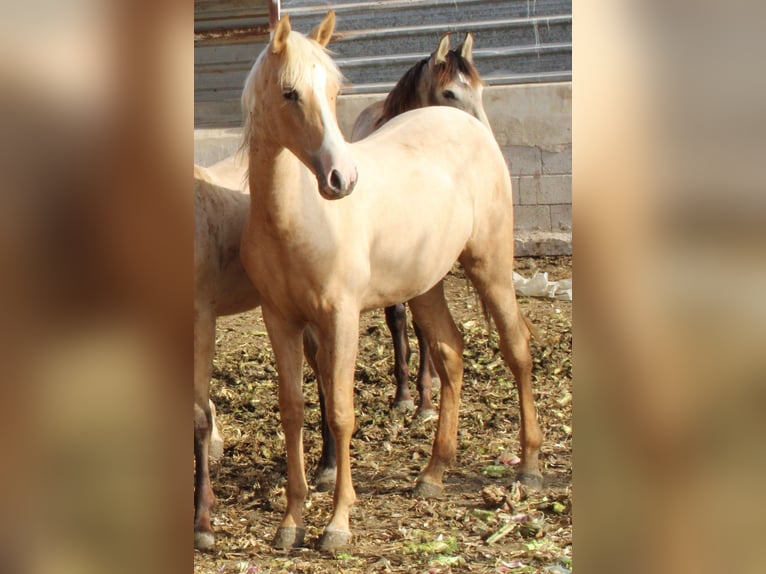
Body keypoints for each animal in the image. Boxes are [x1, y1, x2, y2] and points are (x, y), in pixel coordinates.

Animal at [242, 12, 544, 552]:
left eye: (335, 91)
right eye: (289, 93)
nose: (341, 179)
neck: (294, 218)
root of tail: (472, 128)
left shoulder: (340, 318)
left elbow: (341, 412)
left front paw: (338, 523)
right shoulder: (280, 320)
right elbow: (293, 410)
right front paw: (291, 522)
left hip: (489, 264)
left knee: (516, 347)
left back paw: (528, 466)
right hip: (425, 285)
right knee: (450, 352)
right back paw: (434, 472)